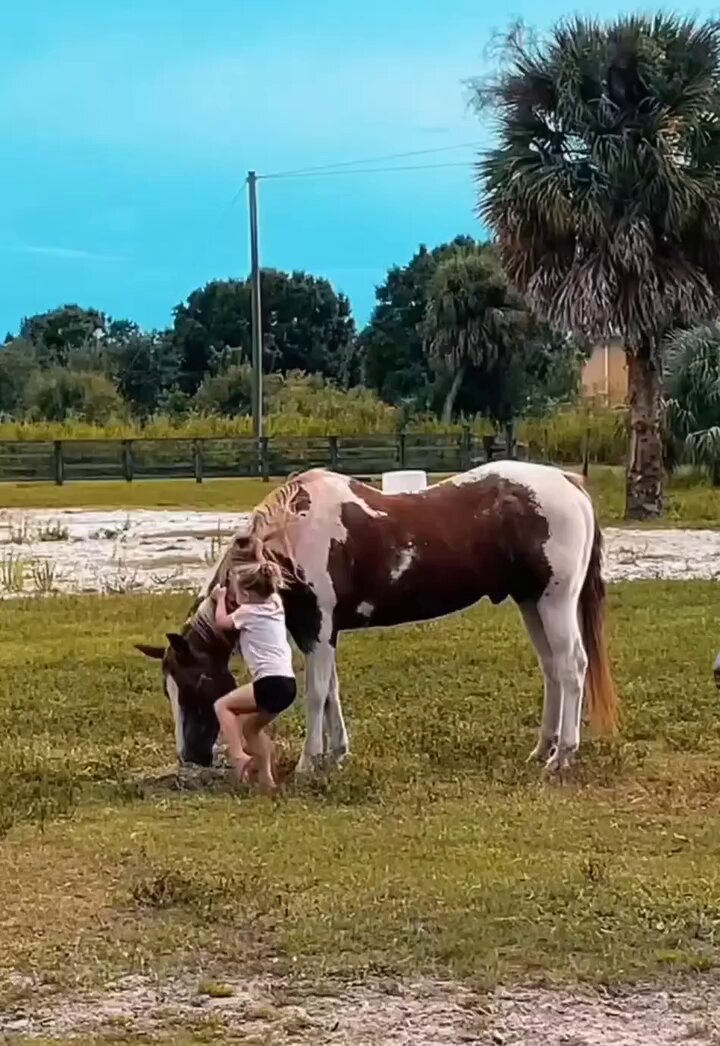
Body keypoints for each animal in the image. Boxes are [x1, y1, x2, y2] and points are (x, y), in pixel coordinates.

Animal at [137, 460, 618, 773]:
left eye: (194, 684)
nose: (190, 757)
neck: (289, 539)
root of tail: (568, 482)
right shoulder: (322, 633)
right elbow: (331, 690)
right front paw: (336, 755)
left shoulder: (316, 630)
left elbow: (315, 693)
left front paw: (310, 763)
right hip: (531, 602)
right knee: (552, 669)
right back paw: (542, 750)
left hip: (555, 601)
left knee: (572, 667)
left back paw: (562, 757)